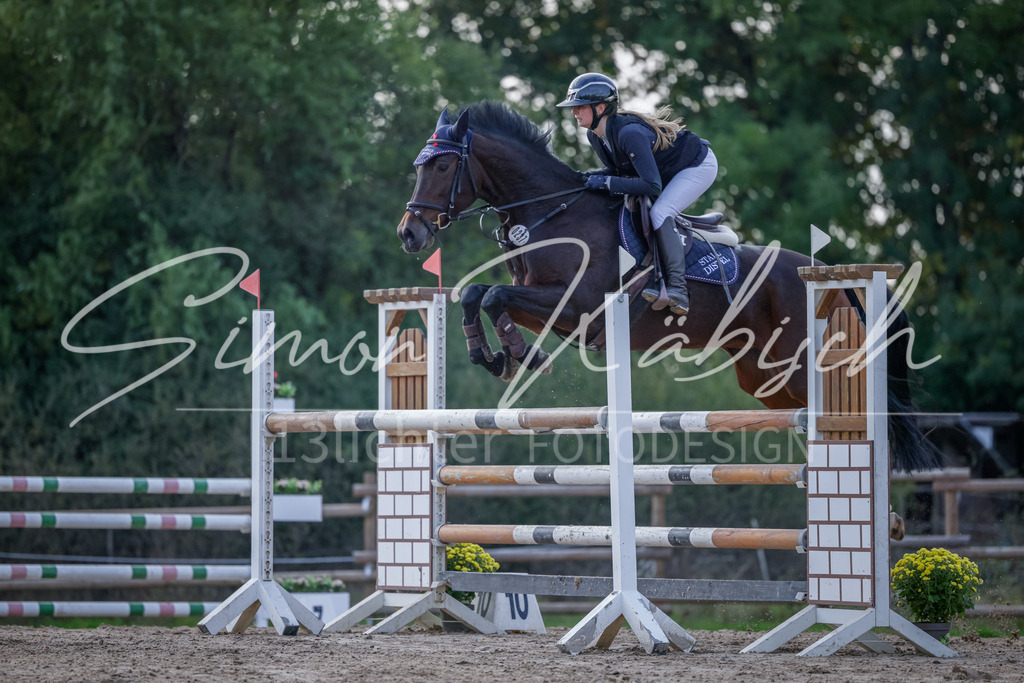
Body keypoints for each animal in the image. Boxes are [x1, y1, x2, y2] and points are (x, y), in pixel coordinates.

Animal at [396, 101, 937, 489]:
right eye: (419, 167)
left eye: (442, 167)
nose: (410, 234)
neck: (552, 212)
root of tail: (833, 275)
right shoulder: (544, 303)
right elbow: (478, 294)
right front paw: (493, 357)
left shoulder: (578, 306)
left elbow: (492, 298)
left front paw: (523, 357)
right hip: (767, 379)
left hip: (804, 367)